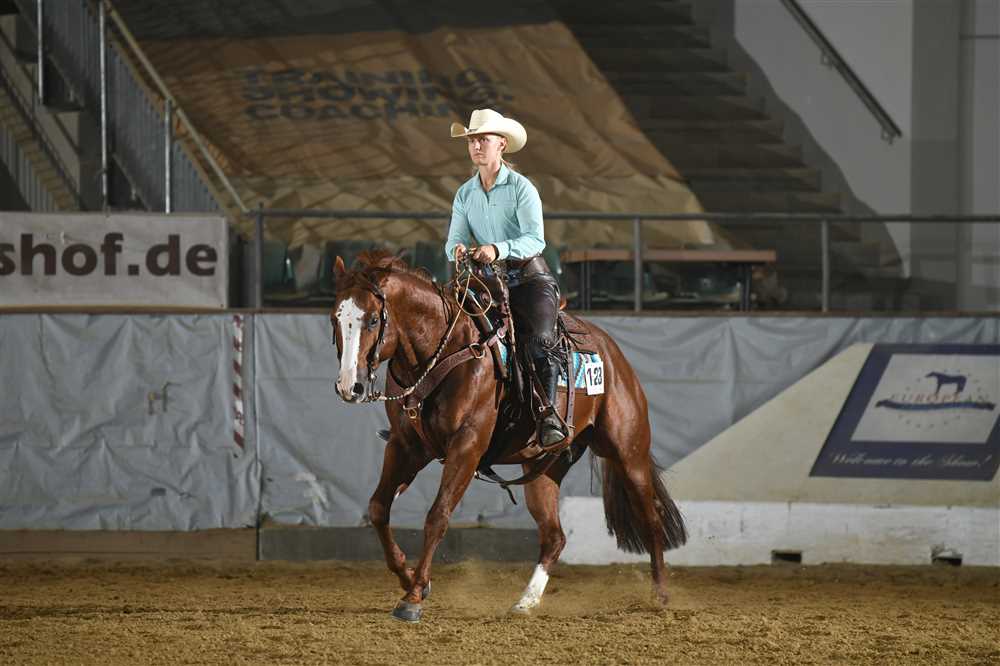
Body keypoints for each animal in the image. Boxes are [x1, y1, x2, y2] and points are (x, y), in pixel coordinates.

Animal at [330, 250, 686, 623]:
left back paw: (661, 595)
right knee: (554, 537)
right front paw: (409, 578)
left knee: (651, 521)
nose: (349, 386)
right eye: (334, 319)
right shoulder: (405, 446)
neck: (446, 350)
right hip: (545, 468)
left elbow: (438, 515)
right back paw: (525, 601)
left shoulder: (467, 446)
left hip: (628, 453)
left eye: (373, 320)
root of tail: (613, 353)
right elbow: (378, 508)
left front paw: (413, 597)